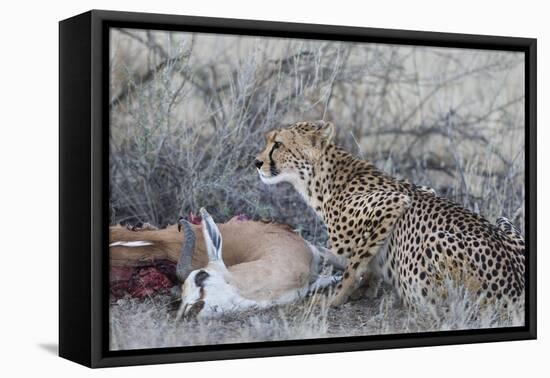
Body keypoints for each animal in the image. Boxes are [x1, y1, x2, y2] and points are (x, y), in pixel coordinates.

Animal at [256, 120, 528, 308]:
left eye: (278, 144)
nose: (256, 162)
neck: (322, 180)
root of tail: (515, 287)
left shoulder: (394, 202)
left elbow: (353, 266)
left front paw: (335, 298)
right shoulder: (423, 189)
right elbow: (366, 261)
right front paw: (367, 287)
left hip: (434, 242)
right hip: (503, 221)